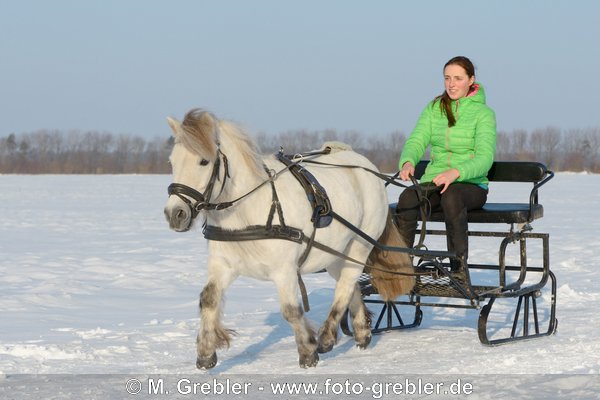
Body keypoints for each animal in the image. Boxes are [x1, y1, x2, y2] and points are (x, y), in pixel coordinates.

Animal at [163, 108, 412, 368]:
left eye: (204, 161)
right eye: (172, 161)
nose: (175, 214)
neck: (248, 209)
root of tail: (366, 166)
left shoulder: (284, 269)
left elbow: (291, 310)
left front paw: (308, 352)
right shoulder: (223, 264)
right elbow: (208, 299)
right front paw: (206, 352)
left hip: (359, 246)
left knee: (345, 284)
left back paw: (325, 337)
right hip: (335, 254)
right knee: (348, 284)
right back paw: (361, 332)